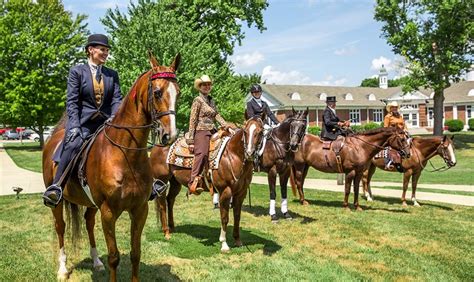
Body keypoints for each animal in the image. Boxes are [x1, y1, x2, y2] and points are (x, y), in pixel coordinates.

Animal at [42, 53, 181, 282]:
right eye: (158, 92)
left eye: (178, 92)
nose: (170, 135)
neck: (125, 155)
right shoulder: (108, 212)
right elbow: (114, 257)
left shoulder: (139, 210)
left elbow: (135, 254)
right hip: (57, 201)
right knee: (60, 227)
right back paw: (62, 269)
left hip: (90, 203)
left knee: (89, 222)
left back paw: (96, 262)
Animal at [151, 115, 264, 252]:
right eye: (245, 132)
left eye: (260, 132)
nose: (249, 153)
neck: (232, 156)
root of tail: (157, 145)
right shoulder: (225, 191)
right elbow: (225, 217)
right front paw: (224, 244)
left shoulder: (241, 193)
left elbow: (237, 216)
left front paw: (238, 240)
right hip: (161, 181)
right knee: (162, 204)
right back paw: (166, 232)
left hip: (175, 182)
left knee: (170, 200)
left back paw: (172, 227)